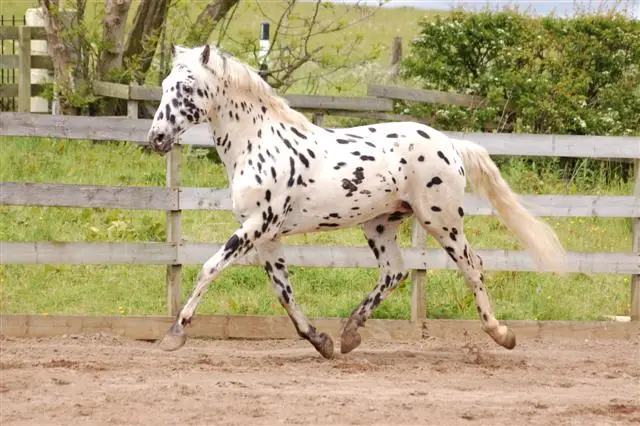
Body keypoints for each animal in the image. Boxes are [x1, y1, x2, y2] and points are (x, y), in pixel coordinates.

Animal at [147, 44, 567, 359]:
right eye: (166, 83)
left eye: (186, 87)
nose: (157, 138)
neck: (259, 143)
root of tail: (450, 144)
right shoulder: (266, 236)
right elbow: (284, 292)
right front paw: (322, 342)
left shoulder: (256, 226)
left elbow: (209, 268)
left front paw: (174, 335)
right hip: (381, 224)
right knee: (395, 272)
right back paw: (349, 333)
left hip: (441, 219)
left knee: (472, 265)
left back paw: (501, 333)